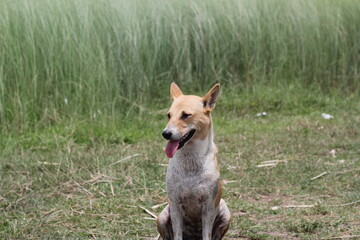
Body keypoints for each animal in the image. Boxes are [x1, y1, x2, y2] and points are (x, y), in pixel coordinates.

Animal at [156, 83, 229, 240]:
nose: (165, 133)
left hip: (225, 212)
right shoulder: (175, 204)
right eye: (168, 115)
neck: (190, 160)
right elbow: (177, 234)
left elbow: (207, 234)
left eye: (186, 115)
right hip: (162, 216)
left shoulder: (208, 206)